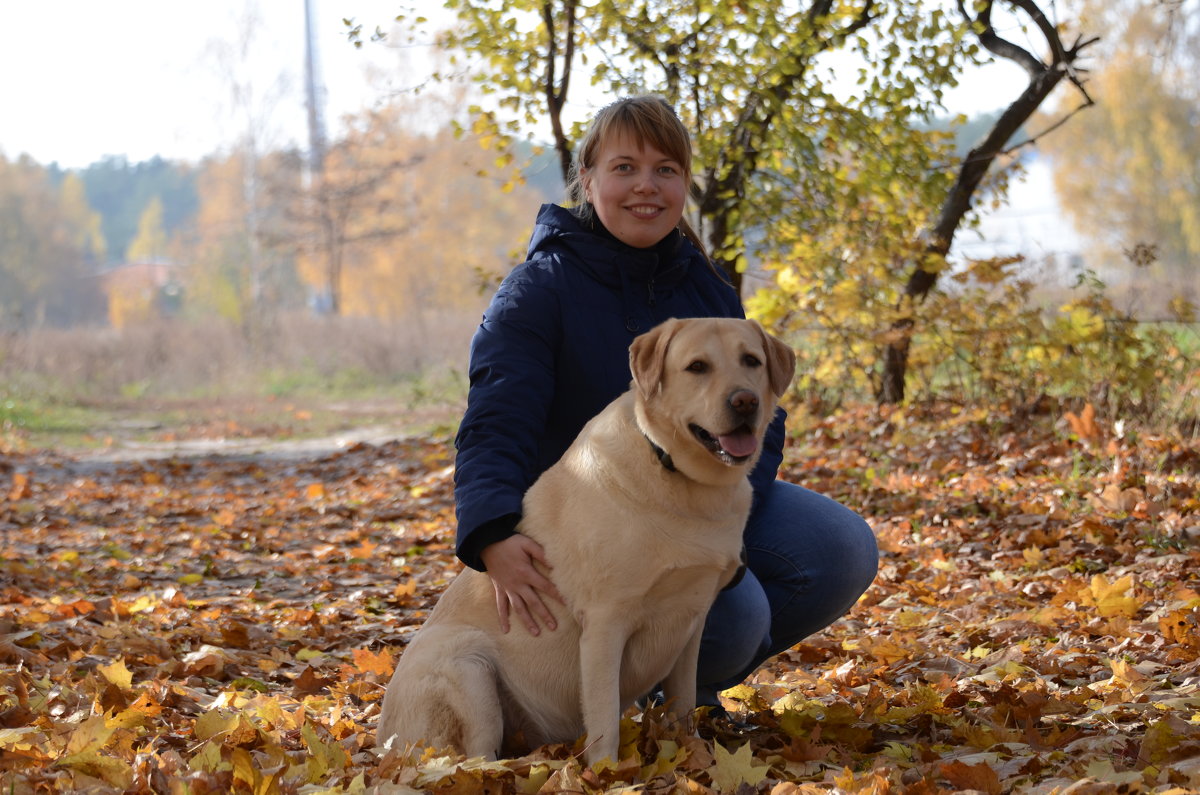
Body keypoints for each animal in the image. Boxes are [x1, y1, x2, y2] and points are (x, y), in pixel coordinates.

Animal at [379, 317, 792, 768]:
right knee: (471, 760)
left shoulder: (691, 620)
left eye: (751, 361)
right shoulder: (604, 624)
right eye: (697, 367)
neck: (675, 473)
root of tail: (384, 744)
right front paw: (608, 773)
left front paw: (695, 756)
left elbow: (683, 705)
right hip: (466, 665)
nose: (745, 401)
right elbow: (605, 716)